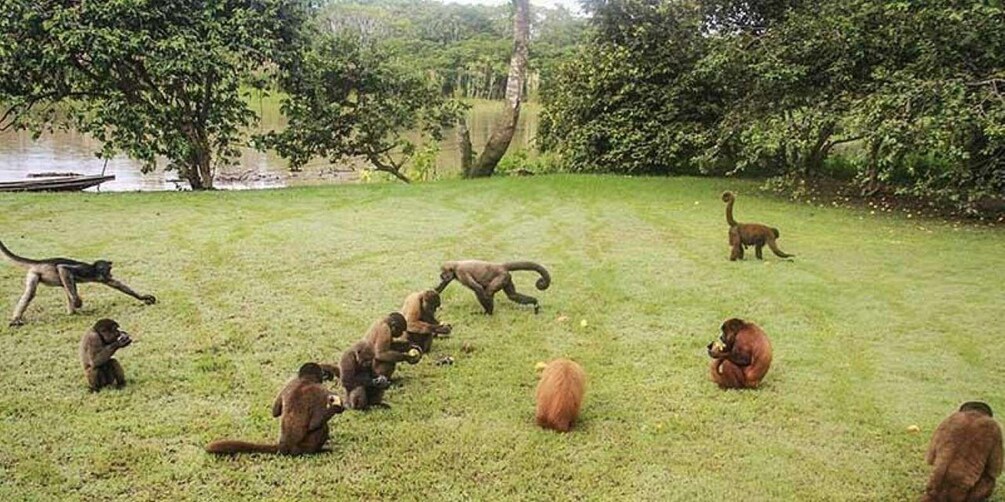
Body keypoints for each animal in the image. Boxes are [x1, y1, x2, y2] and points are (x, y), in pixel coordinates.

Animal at [0, 239, 156, 326]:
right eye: (109, 269)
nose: (111, 274)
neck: (93, 270)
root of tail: (40, 262)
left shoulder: (100, 277)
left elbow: (116, 284)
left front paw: (143, 297)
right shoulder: (86, 270)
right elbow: (62, 268)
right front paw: (77, 302)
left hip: (33, 274)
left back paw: (71, 313)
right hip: (36, 273)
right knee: (34, 292)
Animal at [206, 363, 345, 455]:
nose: (325, 376)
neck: (304, 380)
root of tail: (283, 447)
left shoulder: (289, 384)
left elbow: (275, 411)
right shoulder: (319, 391)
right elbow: (315, 423)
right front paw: (337, 406)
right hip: (305, 446)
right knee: (323, 427)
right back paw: (319, 450)